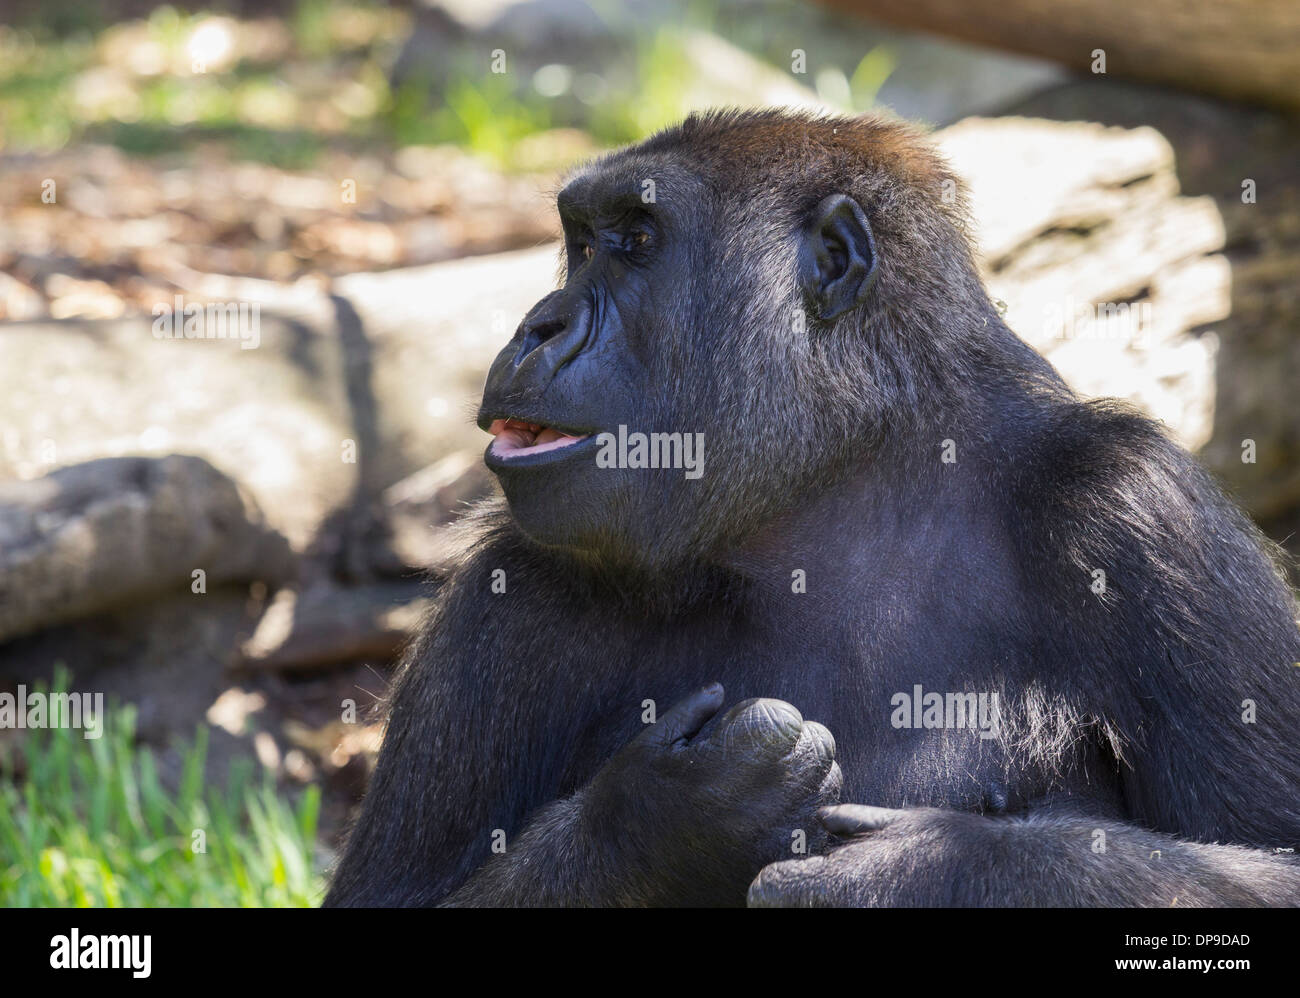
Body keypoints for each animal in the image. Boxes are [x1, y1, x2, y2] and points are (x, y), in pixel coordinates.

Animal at [322, 111, 1300, 914]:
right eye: (582, 243)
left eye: (636, 240)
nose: (538, 327)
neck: (838, 487)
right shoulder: (508, 587)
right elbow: (391, 896)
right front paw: (660, 823)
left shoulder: (1137, 505)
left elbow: (1276, 854)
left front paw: (927, 869)